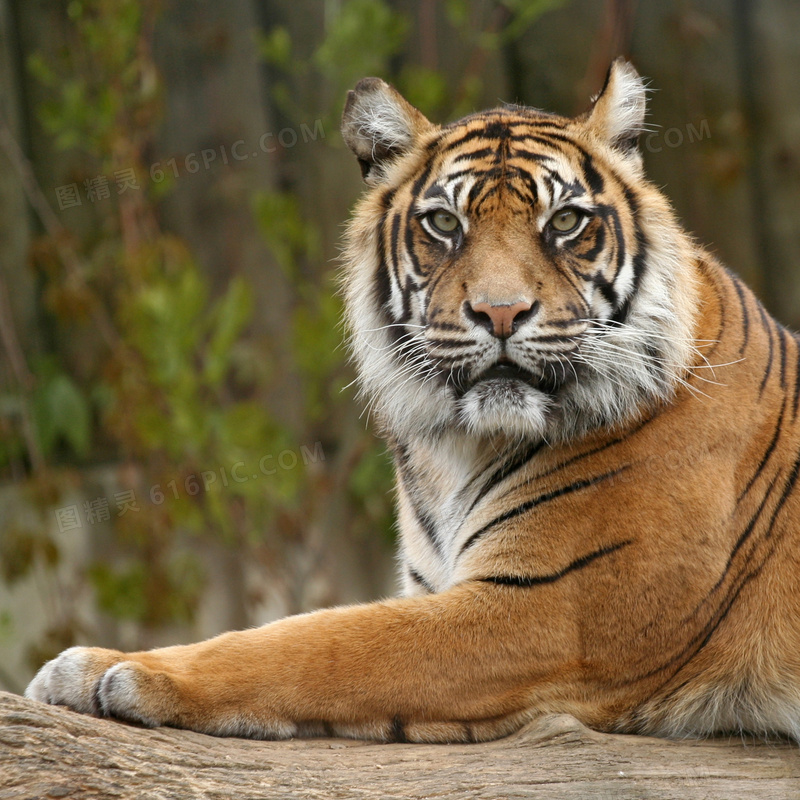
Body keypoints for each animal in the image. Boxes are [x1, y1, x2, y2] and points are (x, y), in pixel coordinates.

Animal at [23, 61, 800, 744]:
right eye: (444, 225)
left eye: (565, 223)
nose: (500, 311)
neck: (458, 446)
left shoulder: (544, 610)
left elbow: (314, 641)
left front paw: (109, 669)